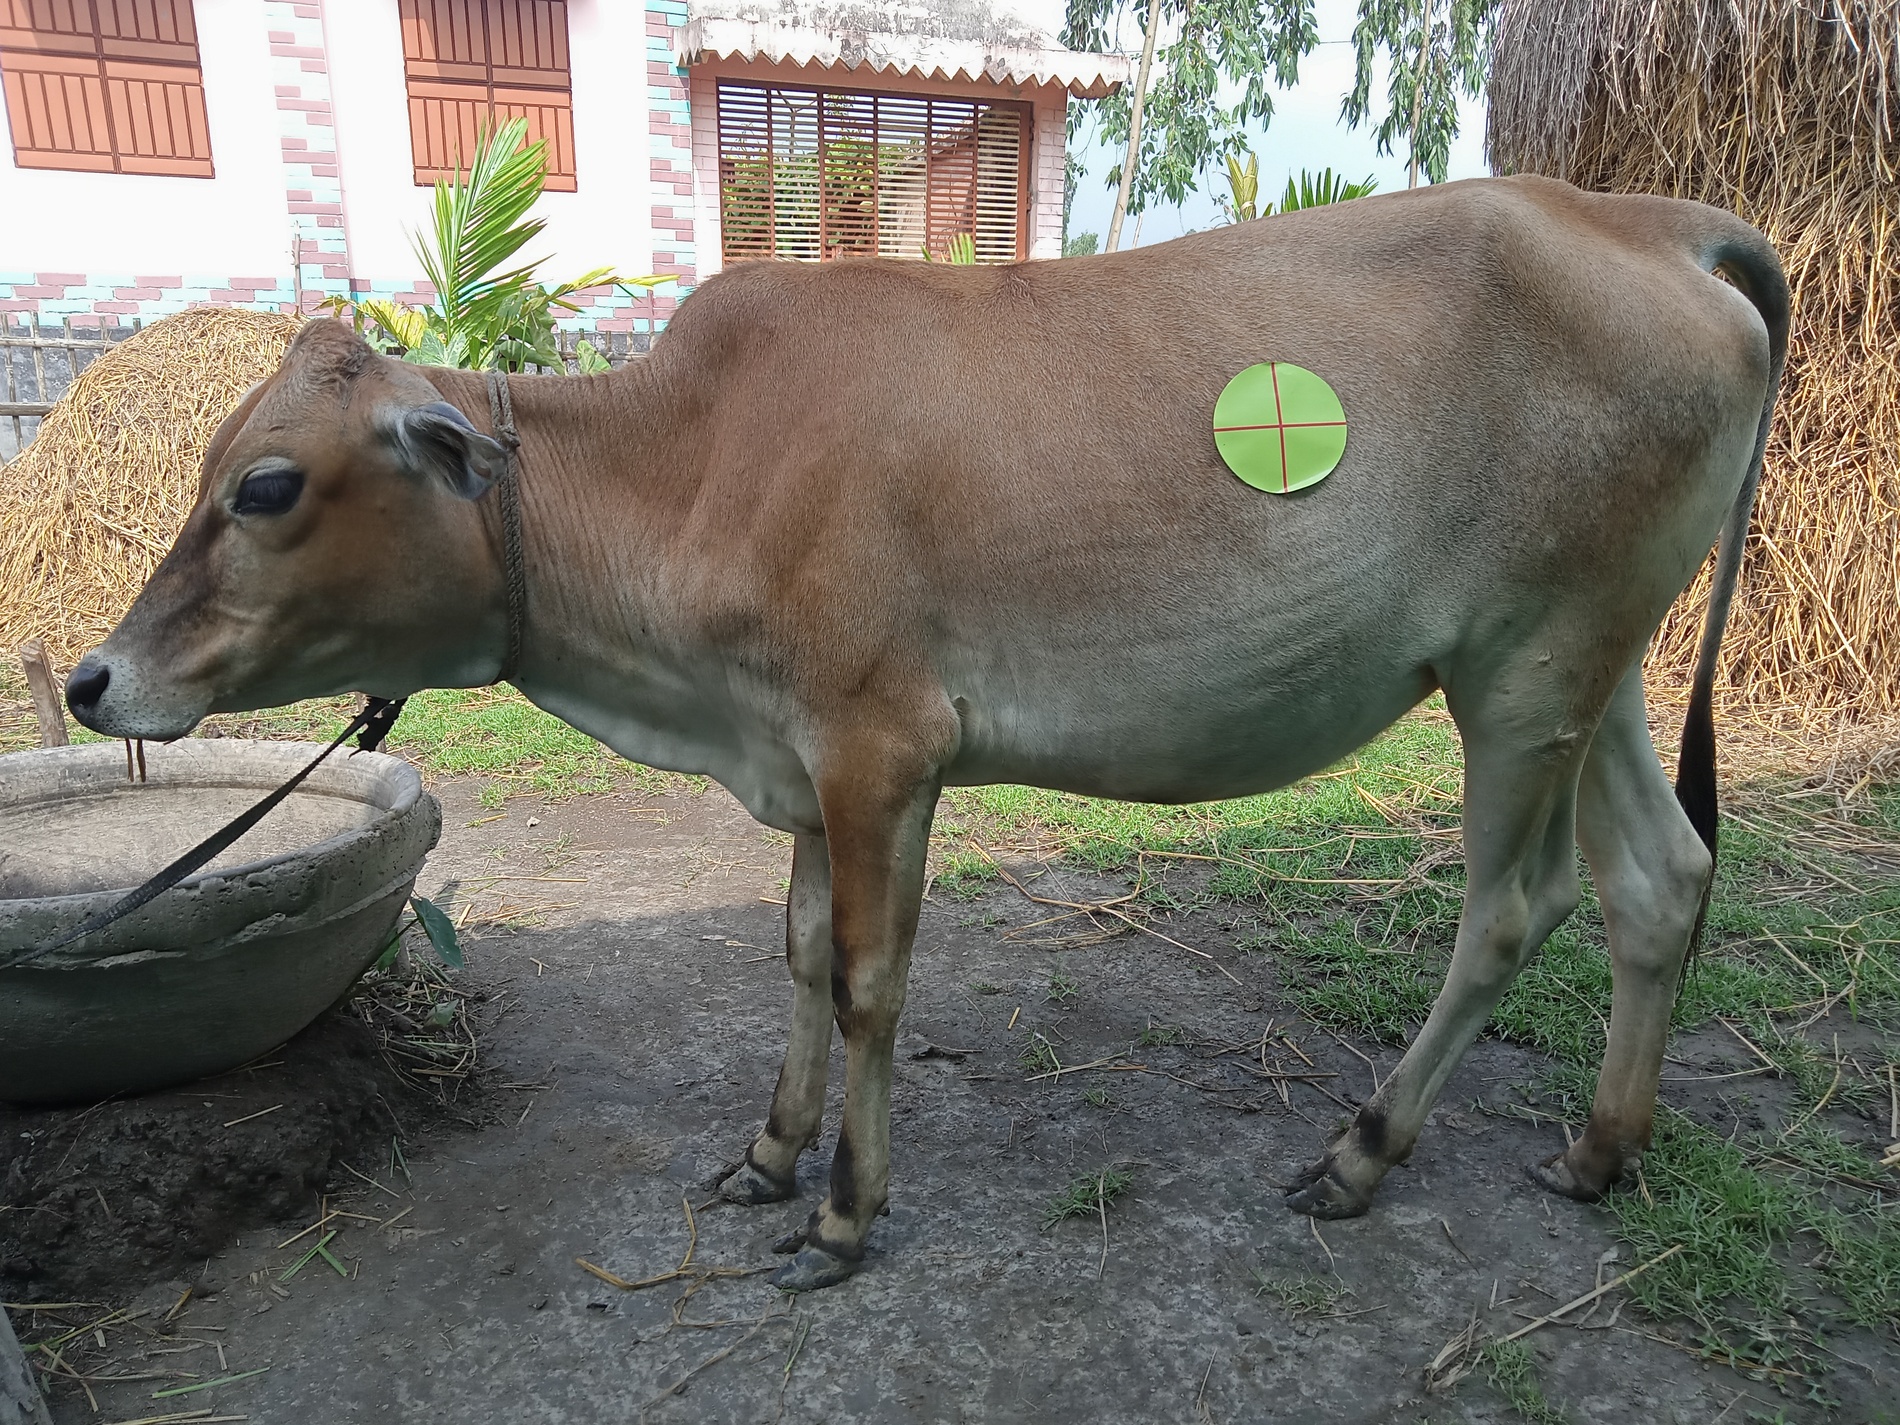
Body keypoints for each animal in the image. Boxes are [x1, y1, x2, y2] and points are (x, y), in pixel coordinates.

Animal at [64, 175, 1787, 1291]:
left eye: (267, 484)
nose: (89, 679)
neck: (685, 464)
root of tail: (1653, 219)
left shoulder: (879, 747)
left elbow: (871, 982)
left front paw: (841, 1216)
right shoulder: (803, 761)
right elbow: (796, 955)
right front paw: (768, 1154)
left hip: (1527, 671)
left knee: (1513, 907)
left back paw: (1366, 1150)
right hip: (1592, 667)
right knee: (1660, 879)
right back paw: (1599, 1146)